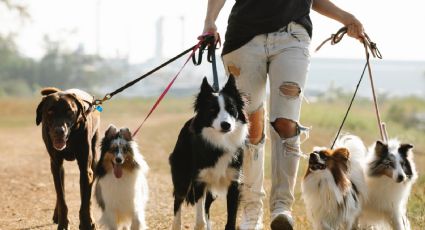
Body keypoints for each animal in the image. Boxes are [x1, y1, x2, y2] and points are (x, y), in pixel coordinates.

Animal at [35, 87, 100, 229]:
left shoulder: (85, 169)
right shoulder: (56, 165)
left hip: (93, 159)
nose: (59, 131)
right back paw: (57, 214)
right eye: (50, 111)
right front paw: (63, 223)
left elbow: (85, 200)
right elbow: (61, 198)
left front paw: (86, 223)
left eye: (69, 112)